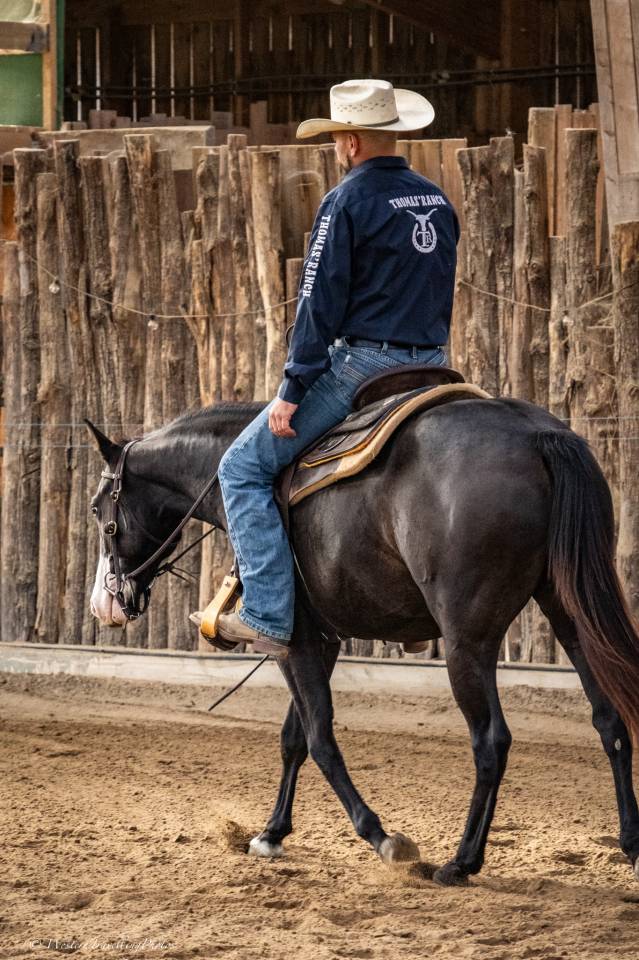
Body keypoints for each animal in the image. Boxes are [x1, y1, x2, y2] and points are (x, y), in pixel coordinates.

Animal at [87, 395, 639, 886]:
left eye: (97, 510)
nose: (104, 604)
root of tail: (535, 434)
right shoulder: (320, 640)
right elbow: (294, 738)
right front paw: (271, 832)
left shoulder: (294, 642)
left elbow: (320, 738)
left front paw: (381, 836)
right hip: (571, 615)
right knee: (609, 720)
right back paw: (630, 845)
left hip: (468, 641)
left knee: (491, 741)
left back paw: (461, 863)